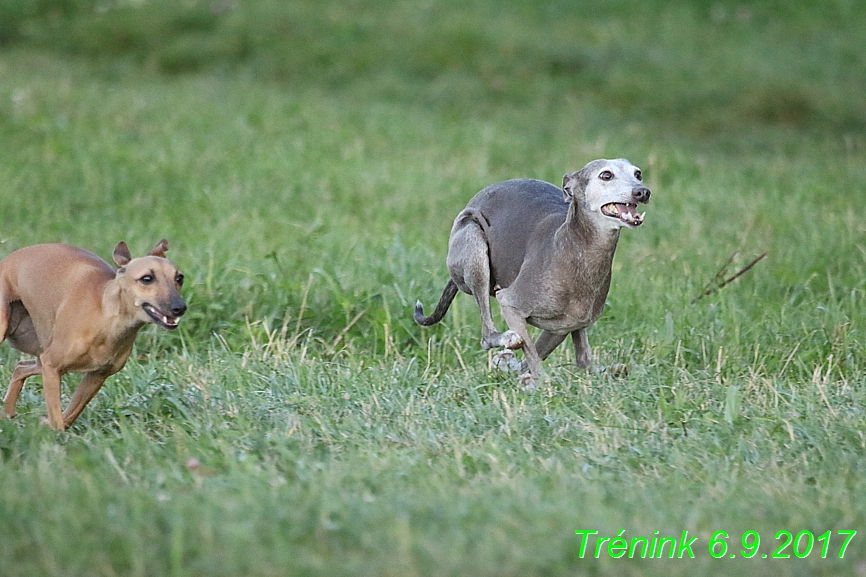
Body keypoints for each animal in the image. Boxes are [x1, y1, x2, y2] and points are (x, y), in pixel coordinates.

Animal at [0, 238, 186, 428]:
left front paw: (47, 424)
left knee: (21, 367)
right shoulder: (51, 365)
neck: (107, 319)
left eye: (179, 278)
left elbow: (69, 415)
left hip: (39, 354)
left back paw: (7, 412)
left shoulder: (97, 376)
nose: (180, 307)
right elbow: (58, 418)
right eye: (147, 278)